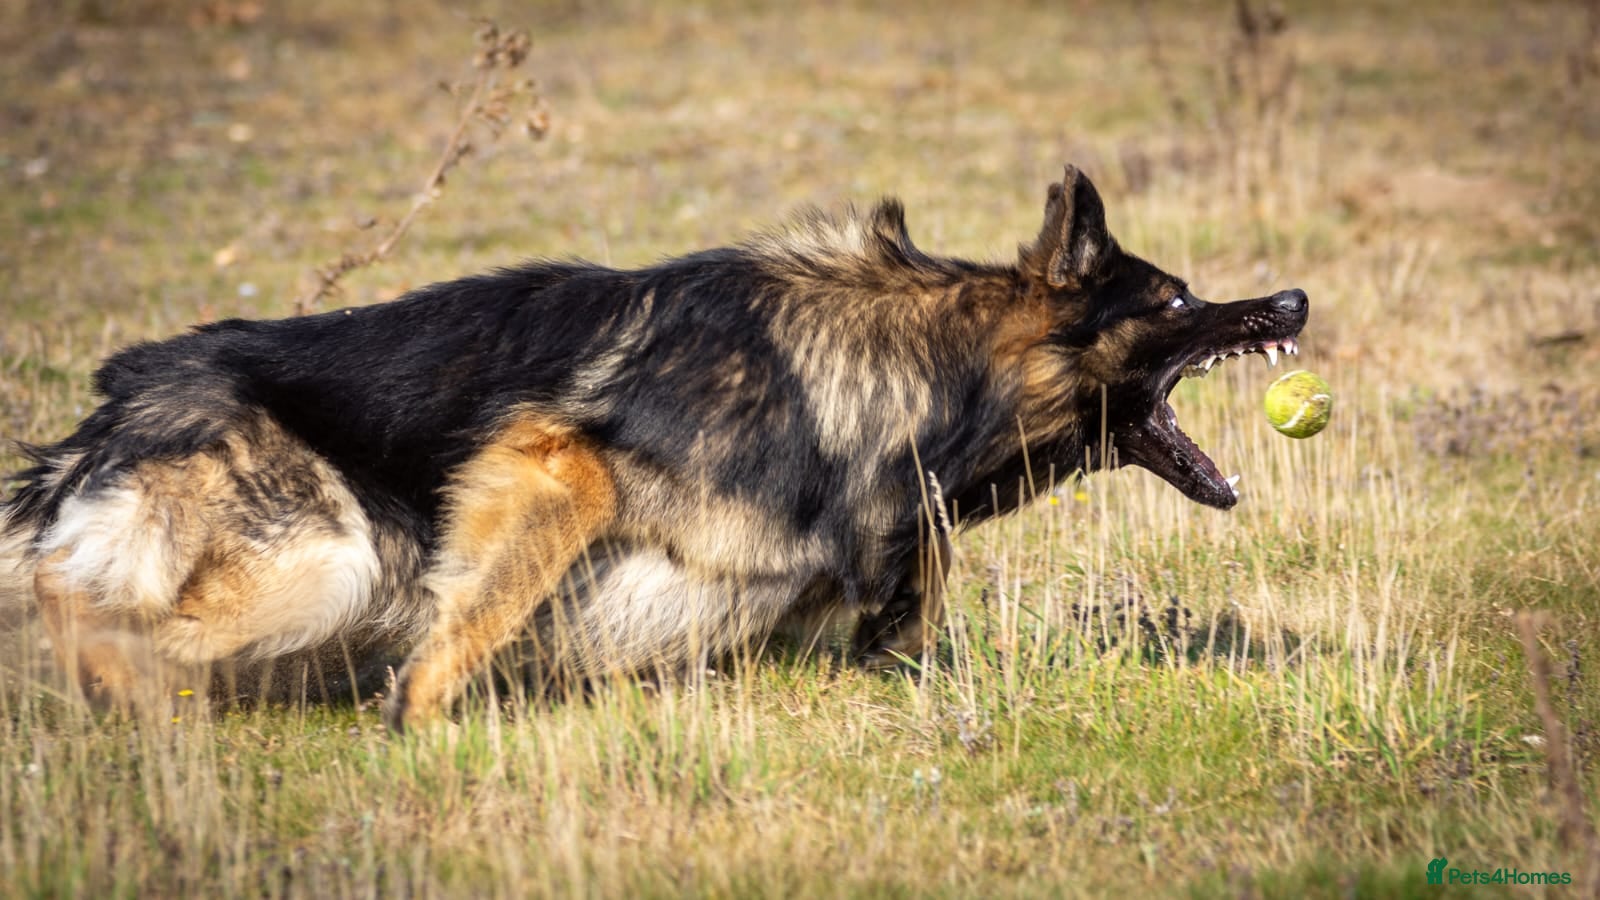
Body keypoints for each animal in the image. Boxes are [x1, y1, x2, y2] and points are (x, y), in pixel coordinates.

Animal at [0, 166, 1308, 731]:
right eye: (1179, 298)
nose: (1292, 299)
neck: (922, 371)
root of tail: (117, 397)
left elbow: (901, 611)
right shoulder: (554, 465)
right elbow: (477, 616)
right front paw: (419, 724)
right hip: (331, 561)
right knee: (70, 603)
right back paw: (121, 695)